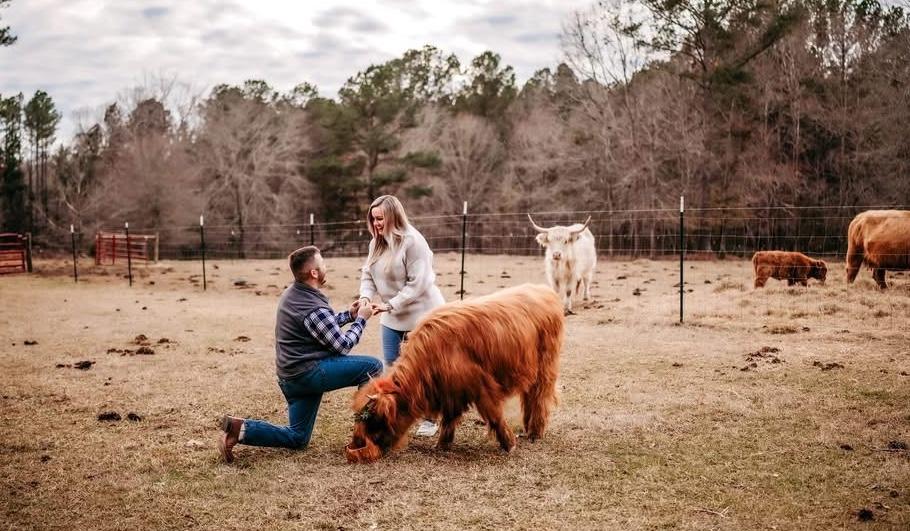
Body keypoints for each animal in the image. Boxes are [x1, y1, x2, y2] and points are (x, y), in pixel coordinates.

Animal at [345, 284, 564, 463]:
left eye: (372, 418)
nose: (357, 443)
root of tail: (544, 290)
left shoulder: (481, 386)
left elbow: (494, 416)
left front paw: (509, 445)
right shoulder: (451, 390)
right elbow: (449, 418)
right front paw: (442, 444)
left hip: (545, 365)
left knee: (539, 396)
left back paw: (535, 432)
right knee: (530, 397)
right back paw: (529, 428)